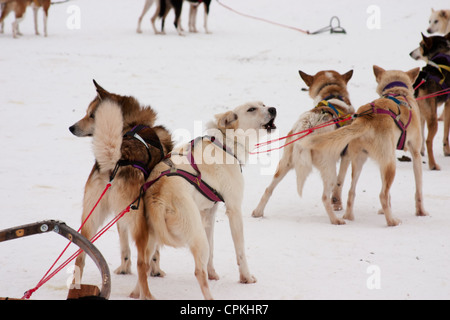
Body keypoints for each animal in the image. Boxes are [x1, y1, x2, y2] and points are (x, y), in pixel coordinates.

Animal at [253, 70, 356, 225]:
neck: (332, 94)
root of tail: (308, 125)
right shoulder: (346, 156)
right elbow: (340, 183)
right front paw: (337, 203)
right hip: (329, 168)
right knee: (324, 197)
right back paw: (335, 220)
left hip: (284, 164)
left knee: (268, 189)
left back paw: (258, 212)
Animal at [304, 65, 428, 225]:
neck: (397, 92)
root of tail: (367, 119)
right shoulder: (415, 154)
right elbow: (418, 190)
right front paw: (421, 212)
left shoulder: (382, 162)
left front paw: (383, 210)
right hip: (389, 163)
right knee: (382, 195)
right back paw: (392, 221)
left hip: (360, 161)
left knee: (351, 191)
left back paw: (349, 216)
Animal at [410, 32, 450, 170]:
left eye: (420, 44)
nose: (410, 53)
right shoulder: (448, 104)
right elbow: (446, 133)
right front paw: (447, 151)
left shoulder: (421, 115)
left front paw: (421, 151)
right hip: (433, 119)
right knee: (428, 141)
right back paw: (433, 165)